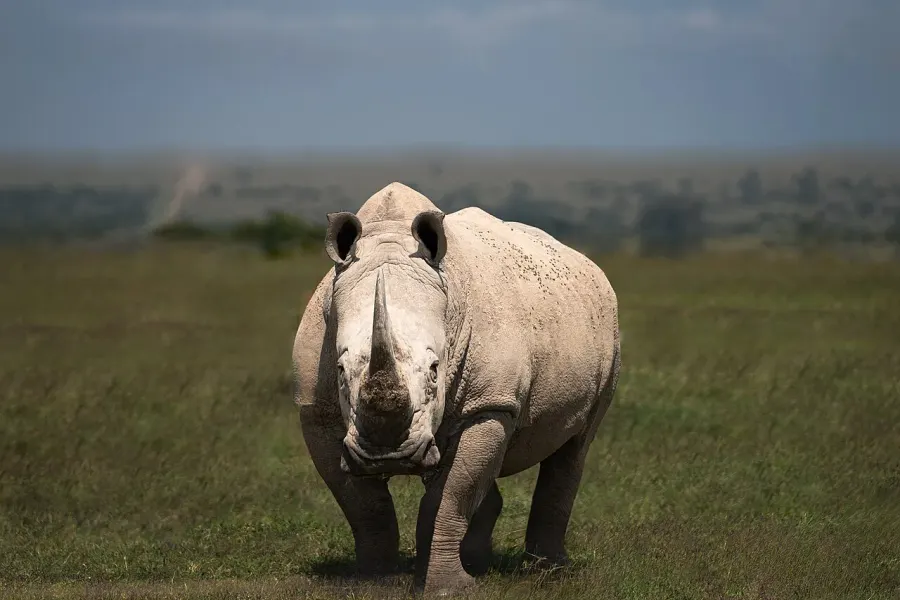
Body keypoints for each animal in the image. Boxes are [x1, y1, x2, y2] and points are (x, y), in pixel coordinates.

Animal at [292, 182, 620, 596]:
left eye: (435, 371)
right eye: (339, 371)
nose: (388, 456)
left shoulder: (490, 403)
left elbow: (451, 494)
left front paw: (447, 590)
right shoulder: (314, 410)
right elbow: (364, 505)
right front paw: (374, 582)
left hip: (608, 332)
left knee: (575, 446)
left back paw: (548, 571)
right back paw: (480, 564)